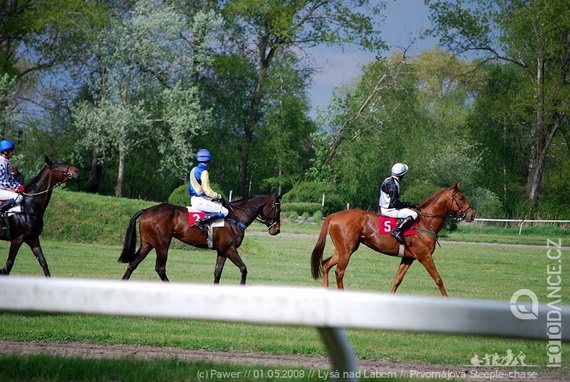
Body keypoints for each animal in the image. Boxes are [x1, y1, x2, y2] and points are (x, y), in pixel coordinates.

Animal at [118, 195, 280, 282]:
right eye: (278, 209)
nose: (277, 230)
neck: (236, 217)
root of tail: (147, 210)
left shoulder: (222, 251)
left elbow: (217, 272)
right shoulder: (230, 249)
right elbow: (243, 268)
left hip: (147, 244)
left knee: (133, 264)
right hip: (162, 244)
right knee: (160, 268)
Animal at [308, 184, 472, 296]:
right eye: (461, 198)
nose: (471, 215)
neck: (425, 222)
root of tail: (334, 214)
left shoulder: (408, 258)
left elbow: (397, 279)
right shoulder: (425, 256)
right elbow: (438, 279)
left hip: (344, 250)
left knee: (325, 265)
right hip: (346, 251)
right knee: (339, 272)